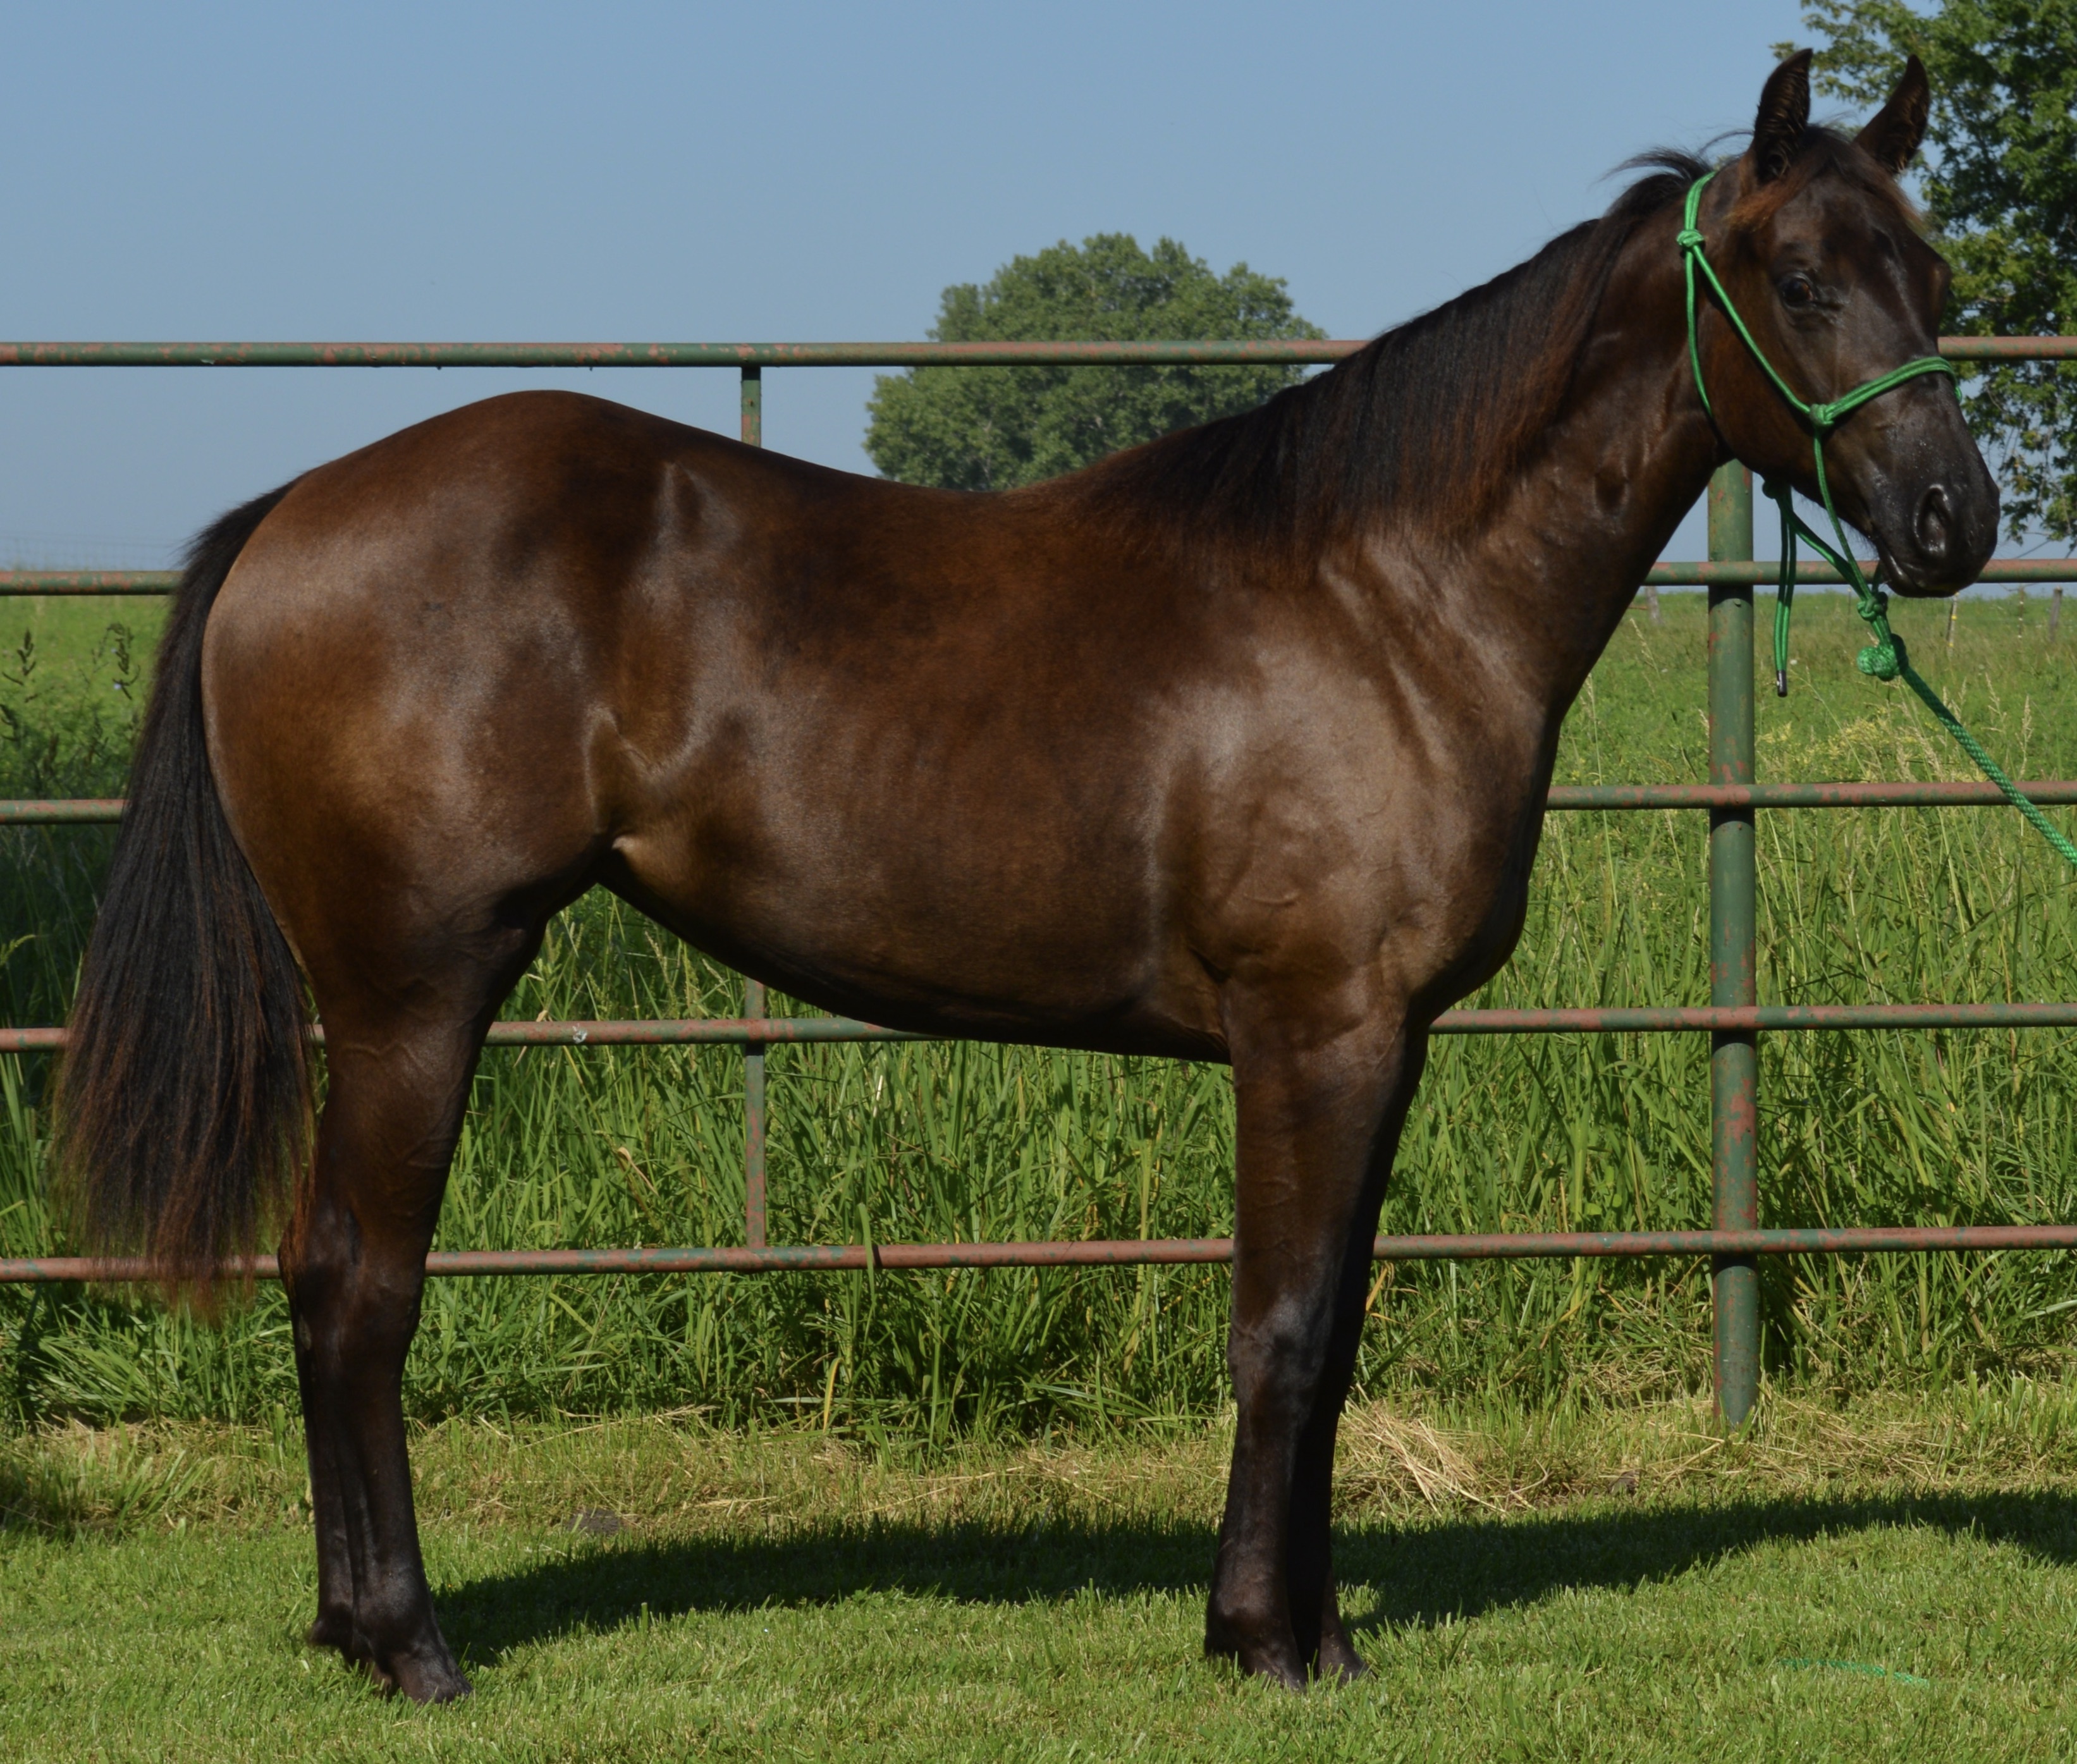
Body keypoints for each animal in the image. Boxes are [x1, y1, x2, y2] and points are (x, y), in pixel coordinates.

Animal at [55, 51, 1996, 1700]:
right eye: (1801, 277)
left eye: (1933, 275)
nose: (1953, 524)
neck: (1388, 597)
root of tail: (293, 511)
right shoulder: (1314, 1032)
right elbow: (1283, 1329)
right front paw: (1263, 1642)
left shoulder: (1385, 1046)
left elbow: (1334, 1333)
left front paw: (1310, 1630)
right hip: (414, 989)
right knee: (356, 1285)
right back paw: (408, 1642)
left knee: (325, 1281)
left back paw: (348, 1626)